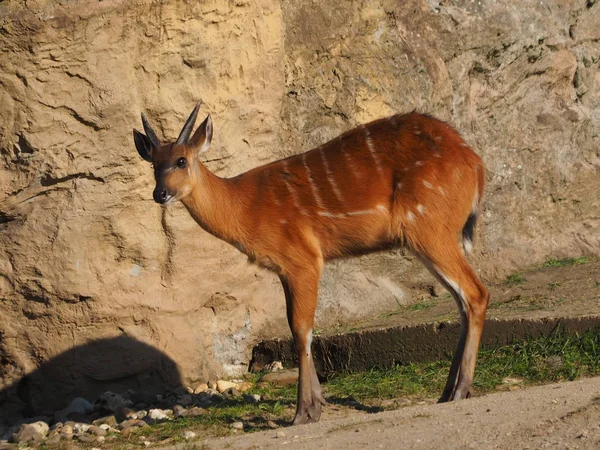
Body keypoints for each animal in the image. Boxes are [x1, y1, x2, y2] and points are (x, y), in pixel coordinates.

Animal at [134, 102, 490, 426]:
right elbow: (299, 327)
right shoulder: (284, 270)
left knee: (476, 293)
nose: (160, 193)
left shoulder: (303, 260)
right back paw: (446, 392)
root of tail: (475, 163)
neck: (246, 206)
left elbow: (301, 329)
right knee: (462, 300)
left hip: (429, 229)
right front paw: (315, 405)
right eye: (154, 165)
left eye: (181, 160)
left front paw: (303, 413)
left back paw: (460, 390)